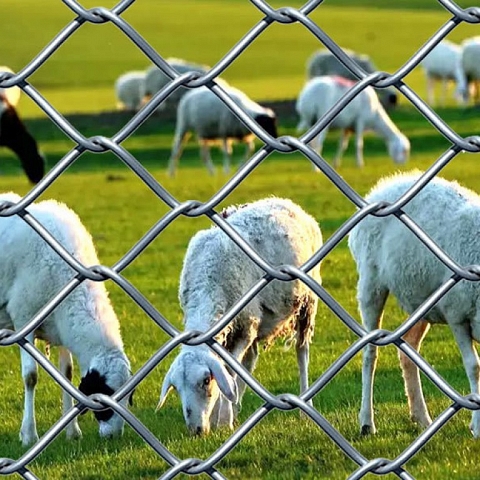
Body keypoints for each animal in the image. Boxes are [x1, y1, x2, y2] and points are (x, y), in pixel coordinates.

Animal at [0, 192, 132, 446]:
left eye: (129, 397)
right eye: (104, 394)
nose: (114, 437)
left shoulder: (60, 327)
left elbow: (67, 374)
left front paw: (72, 432)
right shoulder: (24, 318)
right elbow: (30, 376)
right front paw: (29, 435)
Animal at [158, 197, 322, 436]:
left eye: (206, 381)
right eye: (177, 388)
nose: (195, 430)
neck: (207, 284)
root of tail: (284, 201)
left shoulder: (244, 325)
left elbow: (230, 371)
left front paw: (223, 420)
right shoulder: (232, 329)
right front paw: (223, 416)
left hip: (306, 303)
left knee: (302, 353)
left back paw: (305, 406)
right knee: (251, 358)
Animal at [346, 171, 480, 436]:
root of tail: (385, 186)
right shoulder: (457, 314)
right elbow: (474, 367)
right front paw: (477, 426)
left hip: (420, 300)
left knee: (408, 350)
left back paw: (421, 416)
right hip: (370, 282)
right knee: (370, 353)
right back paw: (367, 422)